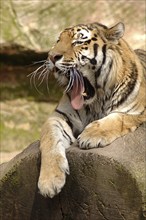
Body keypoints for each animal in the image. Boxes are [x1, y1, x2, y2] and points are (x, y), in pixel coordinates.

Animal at [36, 21, 146, 198]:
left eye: (78, 42)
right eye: (58, 41)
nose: (52, 57)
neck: (97, 100)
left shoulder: (136, 112)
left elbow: (117, 118)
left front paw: (91, 136)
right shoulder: (58, 116)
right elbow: (50, 140)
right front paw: (50, 181)